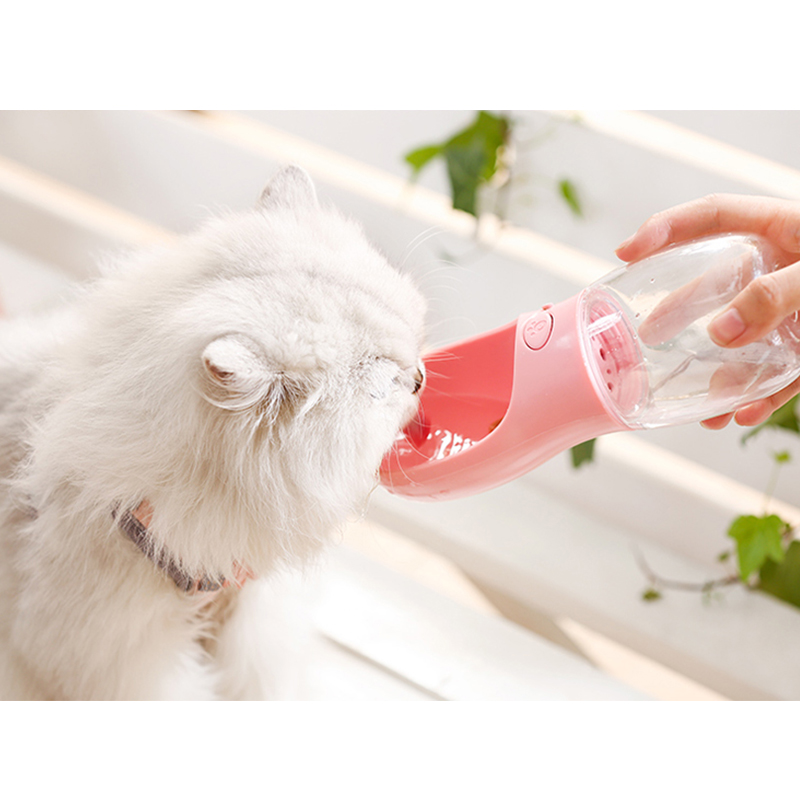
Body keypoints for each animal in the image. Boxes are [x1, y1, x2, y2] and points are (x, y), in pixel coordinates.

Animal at [0, 165, 426, 699]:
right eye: (381, 385)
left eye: (413, 335)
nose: (421, 377)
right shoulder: (120, 664)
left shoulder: (249, 616)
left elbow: (262, 677)